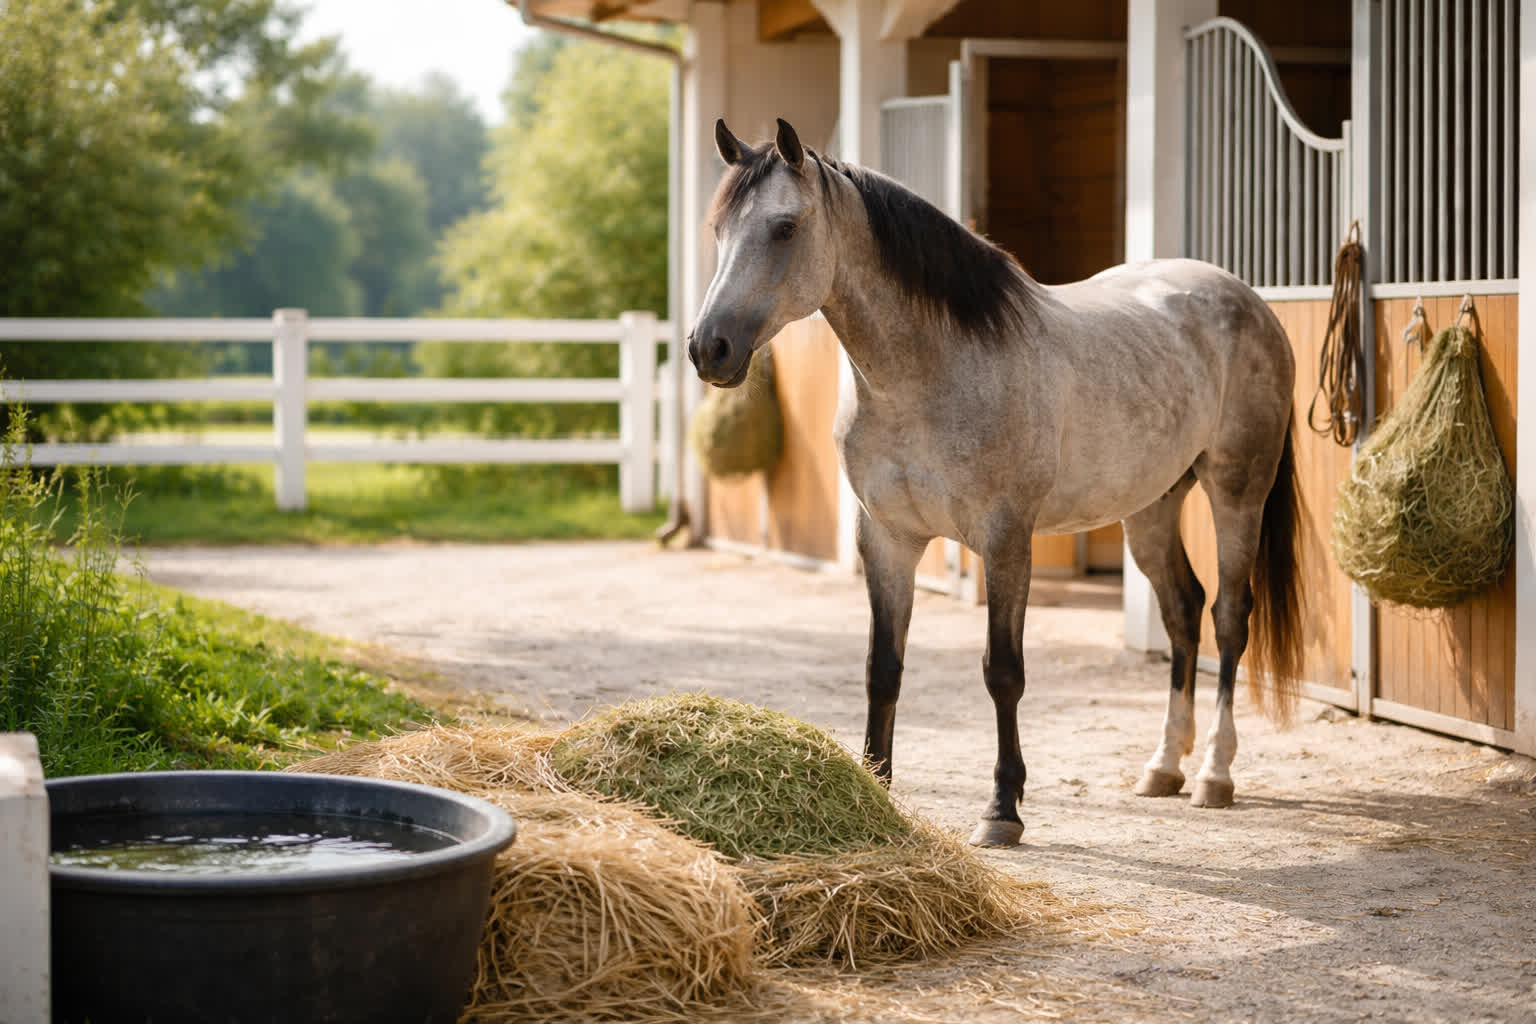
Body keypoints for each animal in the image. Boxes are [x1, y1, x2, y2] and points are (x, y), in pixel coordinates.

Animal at [688, 118, 1305, 848]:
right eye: (718, 229)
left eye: (784, 227)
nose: (708, 348)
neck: (932, 374)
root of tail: (1246, 301)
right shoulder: (887, 540)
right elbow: (882, 668)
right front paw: (877, 790)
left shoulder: (1007, 539)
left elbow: (1002, 672)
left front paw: (1002, 809)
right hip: (1152, 506)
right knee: (1183, 612)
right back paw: (1162, 767)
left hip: (1237, 490)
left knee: (1229, 619)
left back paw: (1214, 773)